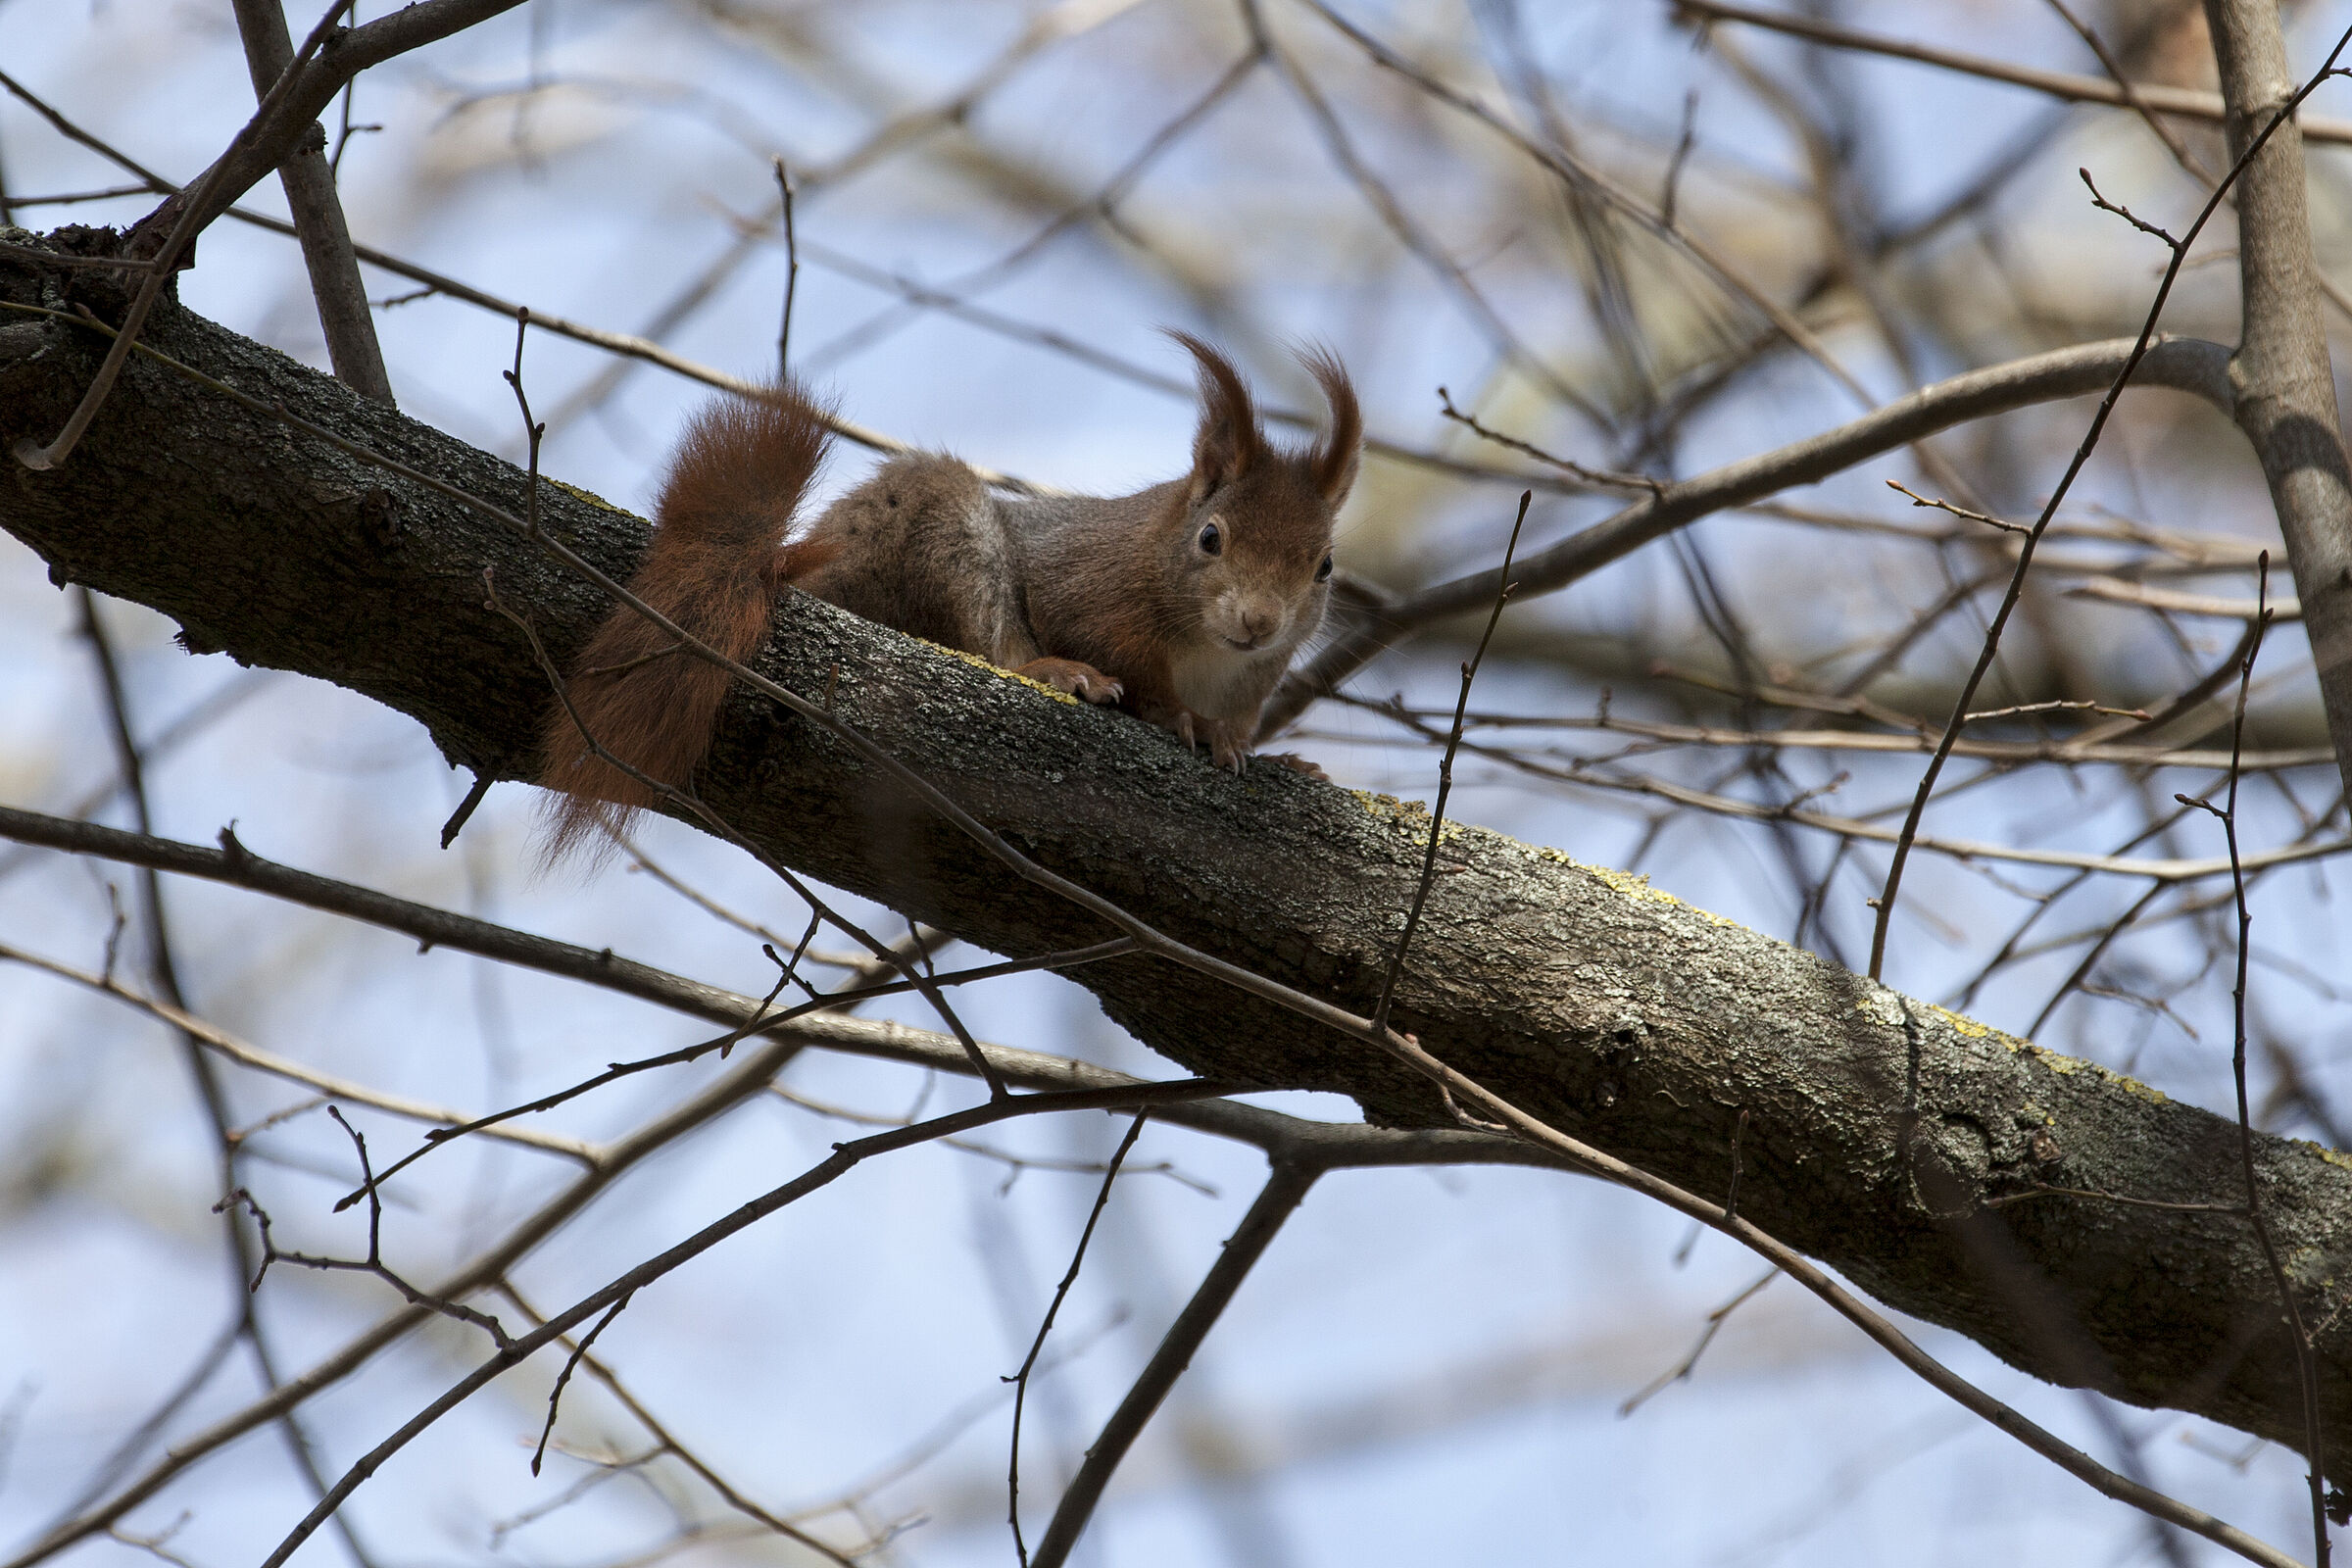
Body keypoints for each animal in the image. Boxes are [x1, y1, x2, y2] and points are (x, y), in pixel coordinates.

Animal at [538, 333, 1364, 864]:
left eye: (1325, 566)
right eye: (1210, 539)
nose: (1259, 622)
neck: (1211, 654)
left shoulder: (1254, 680)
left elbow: (1241, 722)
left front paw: (1267, 754)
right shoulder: (1088, 583)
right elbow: (1126, 660)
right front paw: (1180, 717)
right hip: (943, 540)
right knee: (992, 644)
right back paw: (1059, 675)